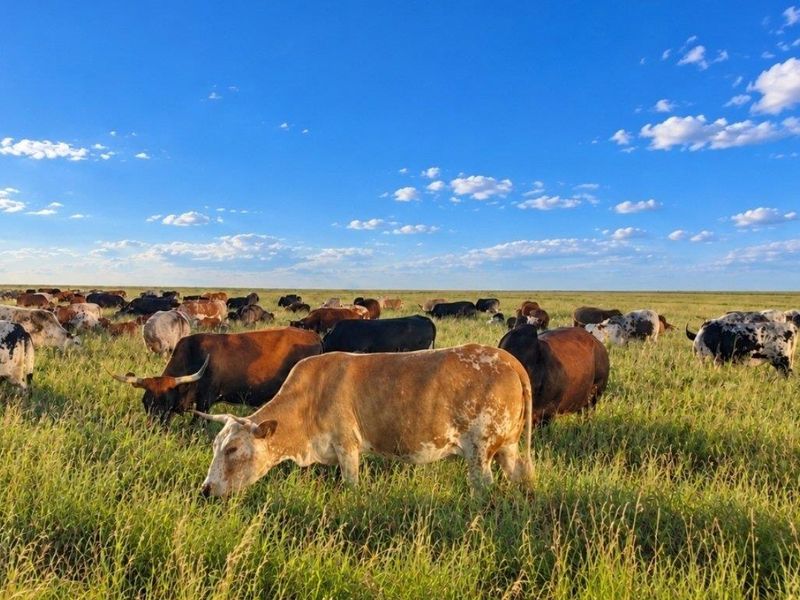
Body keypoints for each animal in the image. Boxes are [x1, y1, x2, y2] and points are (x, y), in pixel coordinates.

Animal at [110, 327, 323, 423]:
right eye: (145, 403)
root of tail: (314, 336)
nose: (153, 429)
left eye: (167, 403)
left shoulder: (205, 402)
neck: (194, 354)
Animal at [194, 344, 534, 496]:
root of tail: (507, 358)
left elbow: (351, 484)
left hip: (480, 452)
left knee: (483, 485)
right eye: (215, 447)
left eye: (233, 450)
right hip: (508, 447)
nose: (206, 489)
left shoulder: (347, 447)